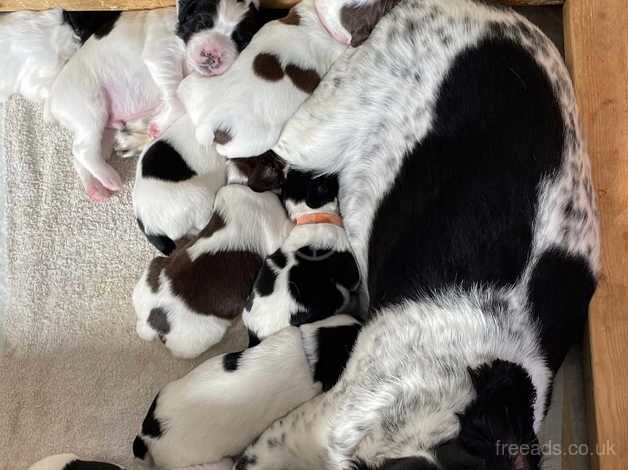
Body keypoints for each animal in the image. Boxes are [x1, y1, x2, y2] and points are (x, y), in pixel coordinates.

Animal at [49, 0, 282, 202]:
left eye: (240, 39)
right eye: (202, 24)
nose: (212, 54)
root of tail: (53, 104)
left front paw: (155, 125)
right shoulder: (161, 53)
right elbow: (175, 93)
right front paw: (156, 126)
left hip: (102, 127)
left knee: (83, 153)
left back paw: (97, 187)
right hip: (89, 104)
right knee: (82, 149)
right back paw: (111, 179)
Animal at [132, 160, 292, 358]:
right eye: (276, 165)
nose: (289, 166)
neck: (241, 184)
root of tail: (152, 322)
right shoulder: (278, 229)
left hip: (153, 266)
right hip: (209, 333)